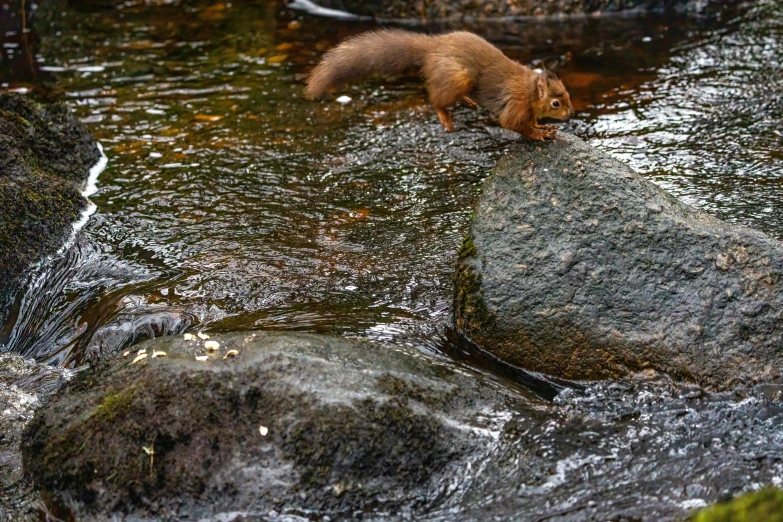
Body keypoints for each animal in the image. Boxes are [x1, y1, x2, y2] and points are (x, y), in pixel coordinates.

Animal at [308, 29, 576, 140]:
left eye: (568, 94)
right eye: (556, 103)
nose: (570, 114)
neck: (530, 91)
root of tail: (431, 48)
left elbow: (530, 122)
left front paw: (542, 127)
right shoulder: (517, 105)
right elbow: (512, 124)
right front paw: (539, 134)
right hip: (458, 77)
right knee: (436, 99)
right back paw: (445, 117)